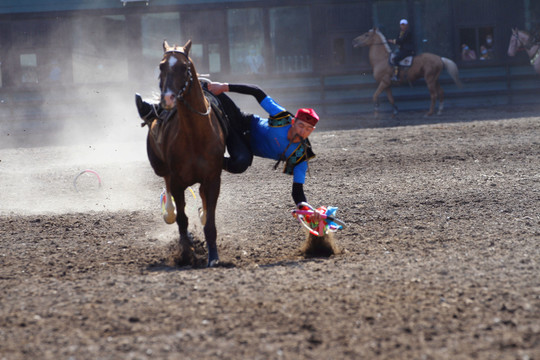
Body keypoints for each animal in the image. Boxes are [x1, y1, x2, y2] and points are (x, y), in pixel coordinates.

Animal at [148, 40, 226, 268]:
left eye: (184, 67)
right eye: (161, 66)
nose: (167, 98)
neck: (195, 135)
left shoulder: (213, 179)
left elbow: (210, 222)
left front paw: (213, 257)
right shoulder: (176, 181)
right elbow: (182, 219)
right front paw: (186, 253)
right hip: (163, 170)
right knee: (171, 199)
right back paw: (170, 214)